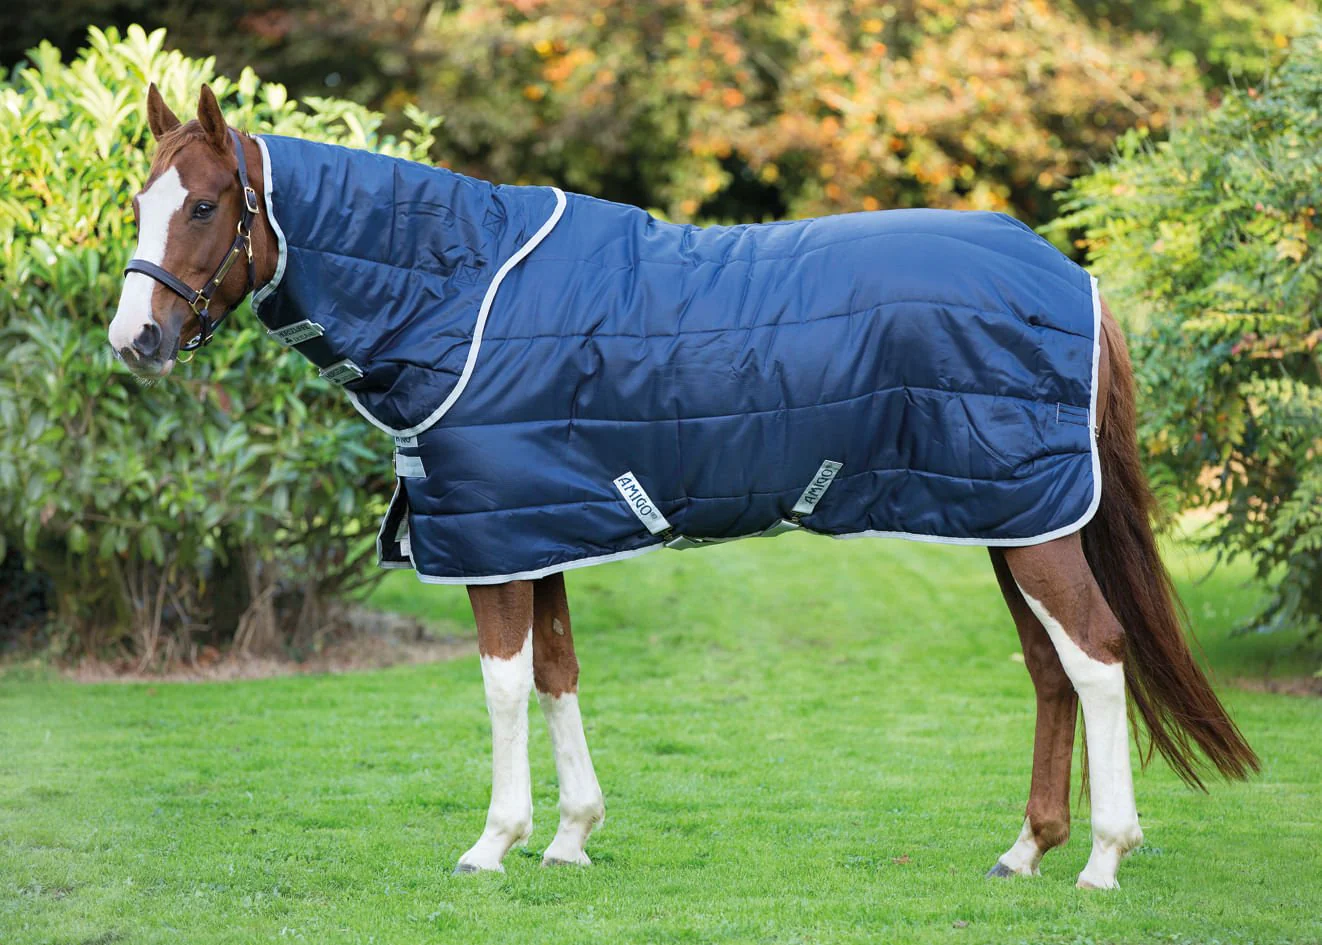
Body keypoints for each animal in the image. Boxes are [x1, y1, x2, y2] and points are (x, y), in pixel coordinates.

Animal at [108, 84, 1258, 889]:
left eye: (204, 205)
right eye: (137, 203)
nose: (134, 340)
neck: (459, 291)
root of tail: (1073, 276)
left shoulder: (493, 539)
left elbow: (502, 685)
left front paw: (494, 842)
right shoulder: (541, 530)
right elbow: (559, 673)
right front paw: (569, 839)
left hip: (1032, 530)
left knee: (1096, 657)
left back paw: (1102, 859)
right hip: (1002, 518)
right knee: (1052, 669)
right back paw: (1025, 851)